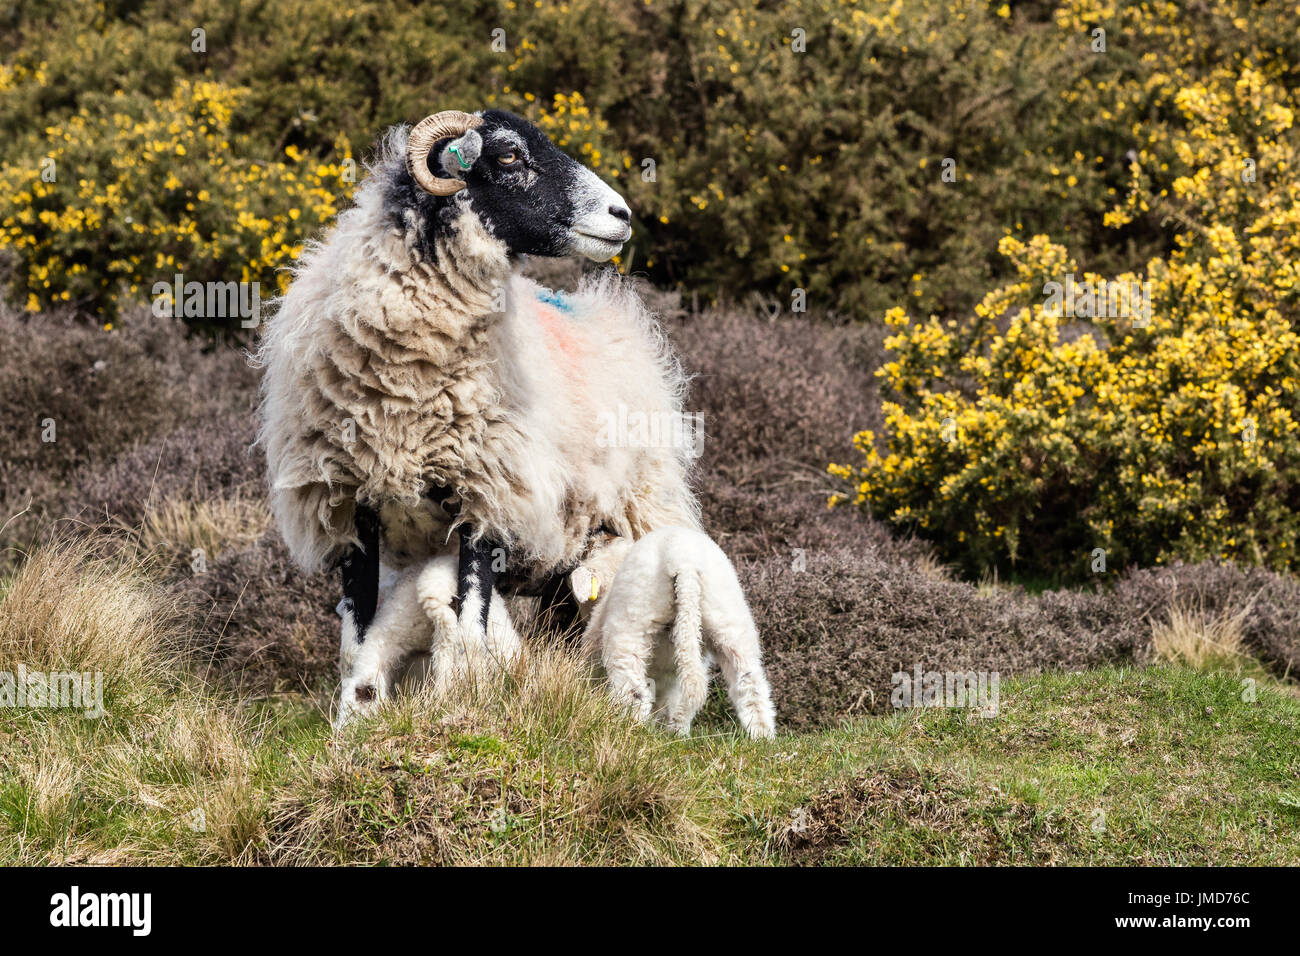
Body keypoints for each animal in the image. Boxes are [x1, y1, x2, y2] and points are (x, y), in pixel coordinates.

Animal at [569, 527, 777, 739]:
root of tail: (685, 564)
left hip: (632, 620)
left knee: (634, 690)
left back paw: (631, 730)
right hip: (729, 620)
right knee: (749, 682)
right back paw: (760, 736)